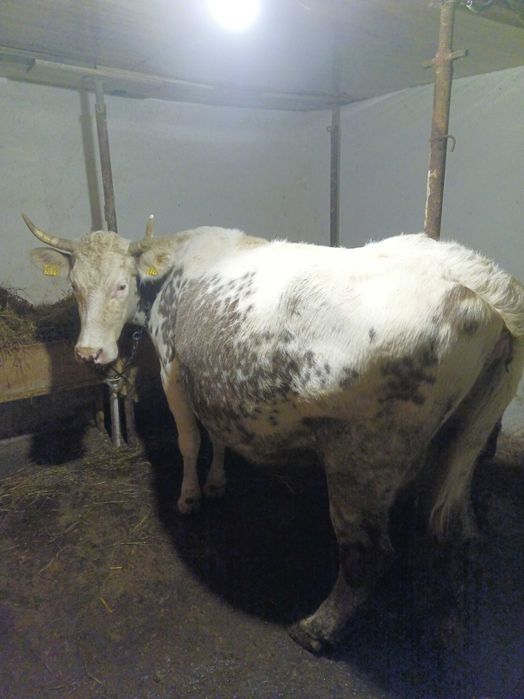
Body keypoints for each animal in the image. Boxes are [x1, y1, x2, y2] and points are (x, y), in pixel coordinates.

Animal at [23, 213, 524, 654]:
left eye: (122, 285)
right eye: (74, 286)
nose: (89, 353)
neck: (173, 271)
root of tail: (484, 284)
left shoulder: (172, 368)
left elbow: (190, 440)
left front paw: (189, 496)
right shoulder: (212, 380)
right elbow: (218, 435)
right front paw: (217, 482)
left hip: (362, 458)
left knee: (369, 553)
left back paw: (316, 630)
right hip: (465, 440)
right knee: (455, 525)